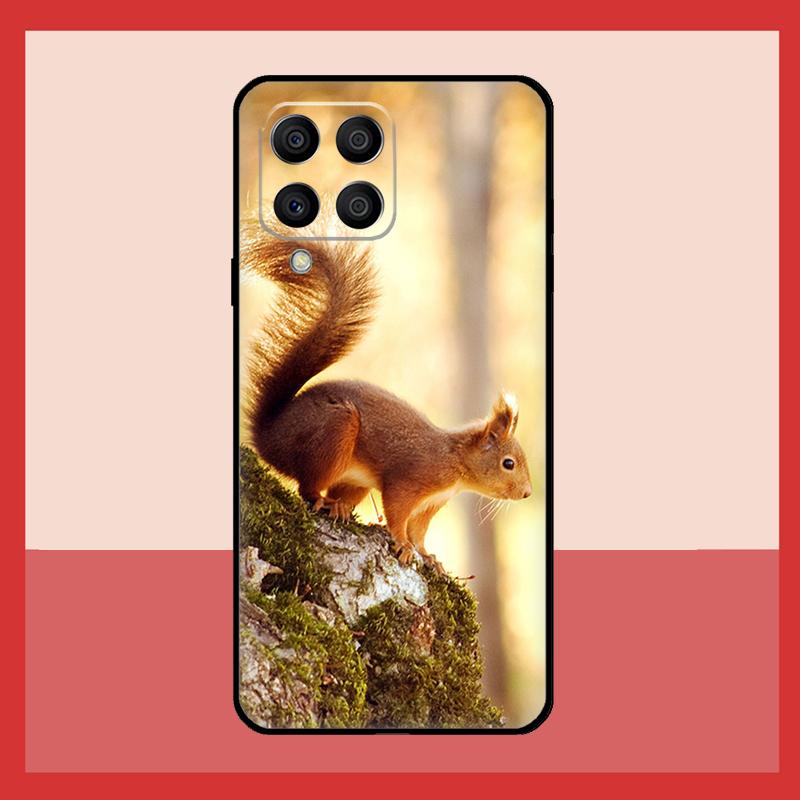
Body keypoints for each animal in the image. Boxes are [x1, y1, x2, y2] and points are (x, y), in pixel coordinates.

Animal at [242, 219, 533, 575]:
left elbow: (419, 530)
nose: (527, 493)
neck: (454, 461)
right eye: (508, 463)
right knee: (307, 487)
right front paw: (404, 545)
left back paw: (340, 507)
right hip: (334, 430)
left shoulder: (431, 503)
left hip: (355, 479)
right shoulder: (410, 481)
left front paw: (428, 556)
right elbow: (397, 512)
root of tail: (268, 435)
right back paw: (323, 501)